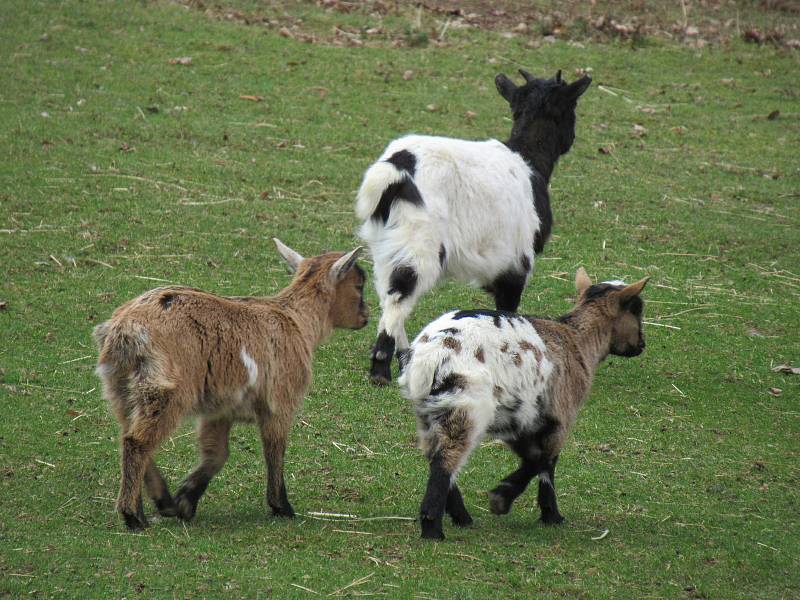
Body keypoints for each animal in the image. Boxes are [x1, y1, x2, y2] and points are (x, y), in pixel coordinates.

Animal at [354, 68, 588, 382]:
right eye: (570, 110)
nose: (572, 138)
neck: (529, 160)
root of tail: (396, 169)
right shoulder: (517, 261)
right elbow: (507, 310)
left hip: (385, 246)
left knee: (388, 294)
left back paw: (403, 361)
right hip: (419, 242)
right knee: (399, 298)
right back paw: (380, 369)